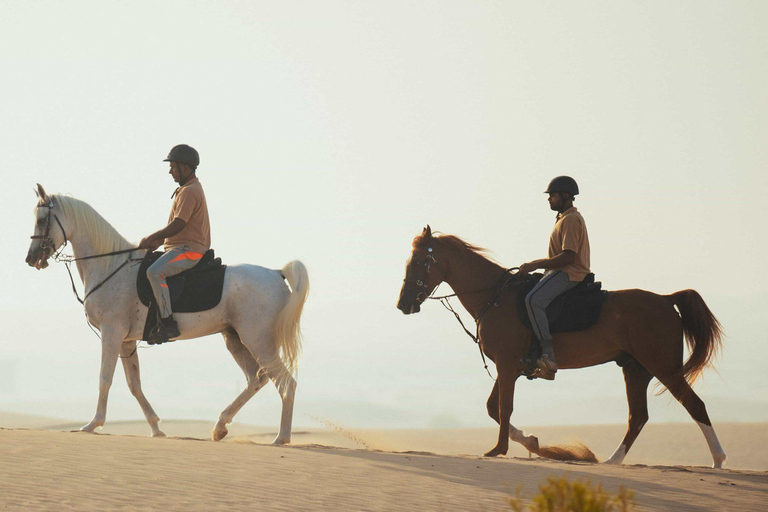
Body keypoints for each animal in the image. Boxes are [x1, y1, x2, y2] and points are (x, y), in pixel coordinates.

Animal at [25, 184, 309, 444]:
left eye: (41, 220)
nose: (31, 259)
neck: (110, 265)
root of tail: (276, 273)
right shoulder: (126, 341)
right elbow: (134, 384)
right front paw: (155, 428)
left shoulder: (112, 333)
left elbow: (105, 378)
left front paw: (93, 424)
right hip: (235, 339)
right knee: (255, 380)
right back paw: (220, 427)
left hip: (258, 340)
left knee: (285, 383)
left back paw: (281, 438)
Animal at [397, 226, 727, 468]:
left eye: (419, 262)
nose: (403, 304)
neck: (495, 297)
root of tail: (666, 299)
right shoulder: (510, 367)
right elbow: (494, 408)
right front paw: (531, 442)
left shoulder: (506, 365)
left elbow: (504, 407)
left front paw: (499, 449)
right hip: (636, 369)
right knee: (638, 417)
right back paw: (612, 461)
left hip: (663, 367)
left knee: (694, 405)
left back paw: (718, 460)